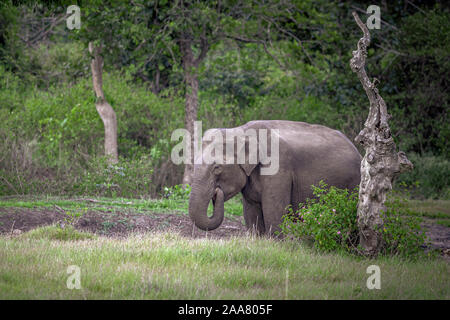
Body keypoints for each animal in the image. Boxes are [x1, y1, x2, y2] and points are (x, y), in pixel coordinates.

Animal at [188, 120, 360, 235]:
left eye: (217, 168)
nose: (217, 192)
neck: (241, 130)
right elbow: (251, 212)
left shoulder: (278, 168)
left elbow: (275, 214)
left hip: (353, 185)